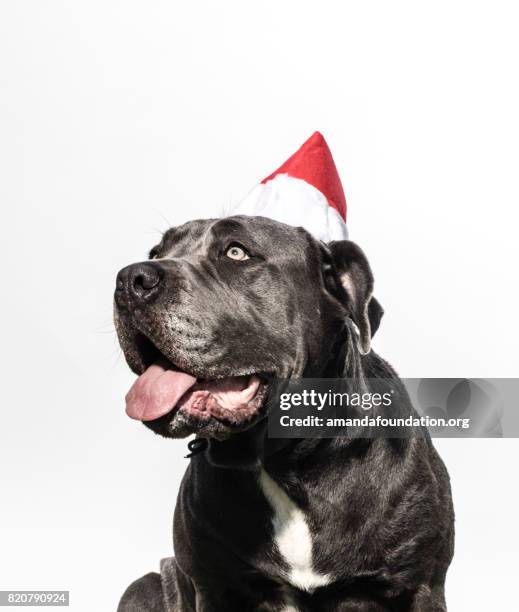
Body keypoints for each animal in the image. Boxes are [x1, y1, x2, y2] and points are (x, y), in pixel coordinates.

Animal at [115, 216, 456, 612]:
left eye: (236, 252)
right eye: (157, 253)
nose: (130, 279)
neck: (286, 463)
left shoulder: (421, 586)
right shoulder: (215, 587)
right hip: (144, 585)